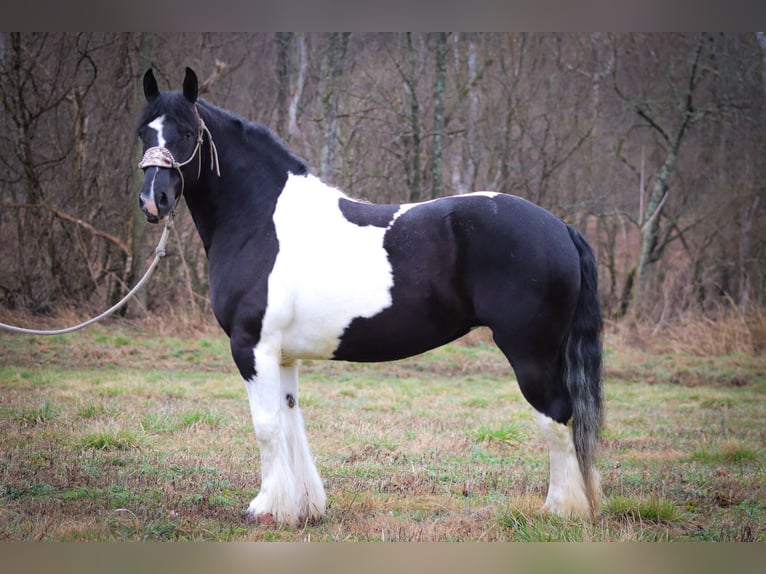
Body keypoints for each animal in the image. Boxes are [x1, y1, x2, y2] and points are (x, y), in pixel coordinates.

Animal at [138, 67, 608, 528]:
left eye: (185, 133)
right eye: (143, 131)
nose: (153, 200)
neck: (261, 222)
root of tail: (560, 227)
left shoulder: (252, 348)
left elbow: (267, 426)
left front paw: (268, 509)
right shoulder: (283, 355)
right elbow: (291, 421)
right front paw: (304, 507)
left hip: (530, 353)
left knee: (556, 417)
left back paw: (561, 510)